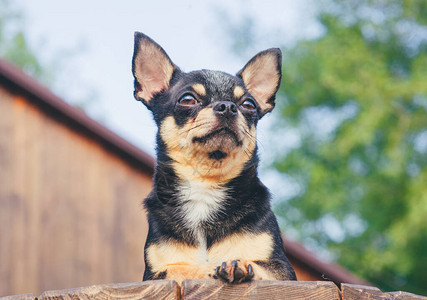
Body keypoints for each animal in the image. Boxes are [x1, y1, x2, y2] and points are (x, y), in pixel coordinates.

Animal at [132, 32, 296, 284]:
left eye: (248, 104)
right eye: (187, 100)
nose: (228, 106)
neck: (205, 184)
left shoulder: (284, 270)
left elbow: (261, 266)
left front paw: (239, 264)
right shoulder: (154, 274)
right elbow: (181, 267)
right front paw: (207, 268)